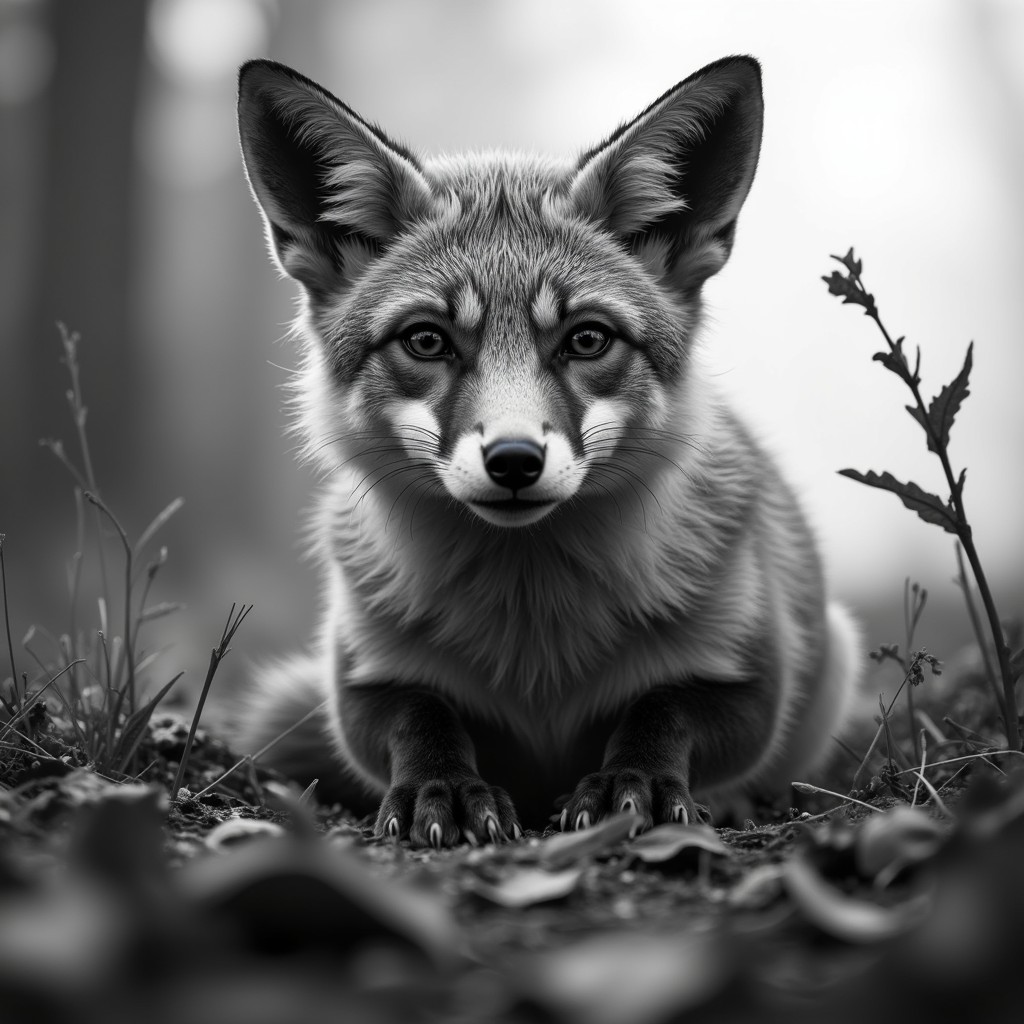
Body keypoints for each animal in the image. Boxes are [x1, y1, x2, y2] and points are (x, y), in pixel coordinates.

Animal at [234, 55, 861, 847]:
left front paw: (634, 782)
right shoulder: (363, 679)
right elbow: (422, 717)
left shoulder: (749, 674)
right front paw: (445, 787)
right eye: (427, 341)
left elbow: (663, 709)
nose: (513, 462)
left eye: (587, 339)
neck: (534, 642)